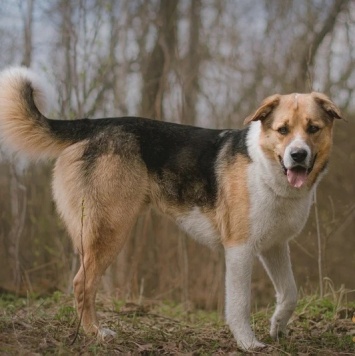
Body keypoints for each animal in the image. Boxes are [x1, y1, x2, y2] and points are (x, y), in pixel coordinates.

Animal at [0, 67, 342, 350]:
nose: (298, 155)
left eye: (313, 128)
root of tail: (95, 125)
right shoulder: (240, 249)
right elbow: (239, 304)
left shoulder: (274, 247)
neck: (265, 166)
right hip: (111, 231)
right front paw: (248, 343)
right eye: (283, 130)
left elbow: (289, 293)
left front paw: (278, 329)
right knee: (82, 284)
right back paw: (96, 334)